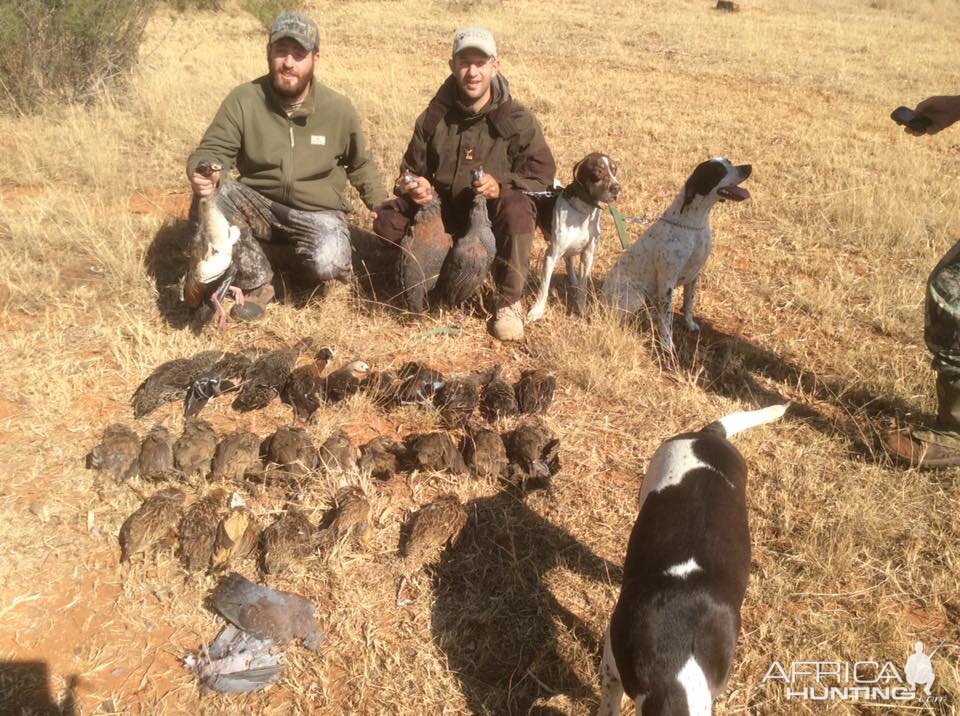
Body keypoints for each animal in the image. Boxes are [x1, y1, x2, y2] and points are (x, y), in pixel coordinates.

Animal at [600, 158, 752, 352]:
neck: (694, 225)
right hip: (635, 296)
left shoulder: (694, 276)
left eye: (729, 161)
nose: (748, 168)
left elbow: (688, 305)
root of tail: (601, 294)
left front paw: (689, 324)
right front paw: (666, 343)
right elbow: (667, 318)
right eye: (718, 170)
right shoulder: (667, 282)